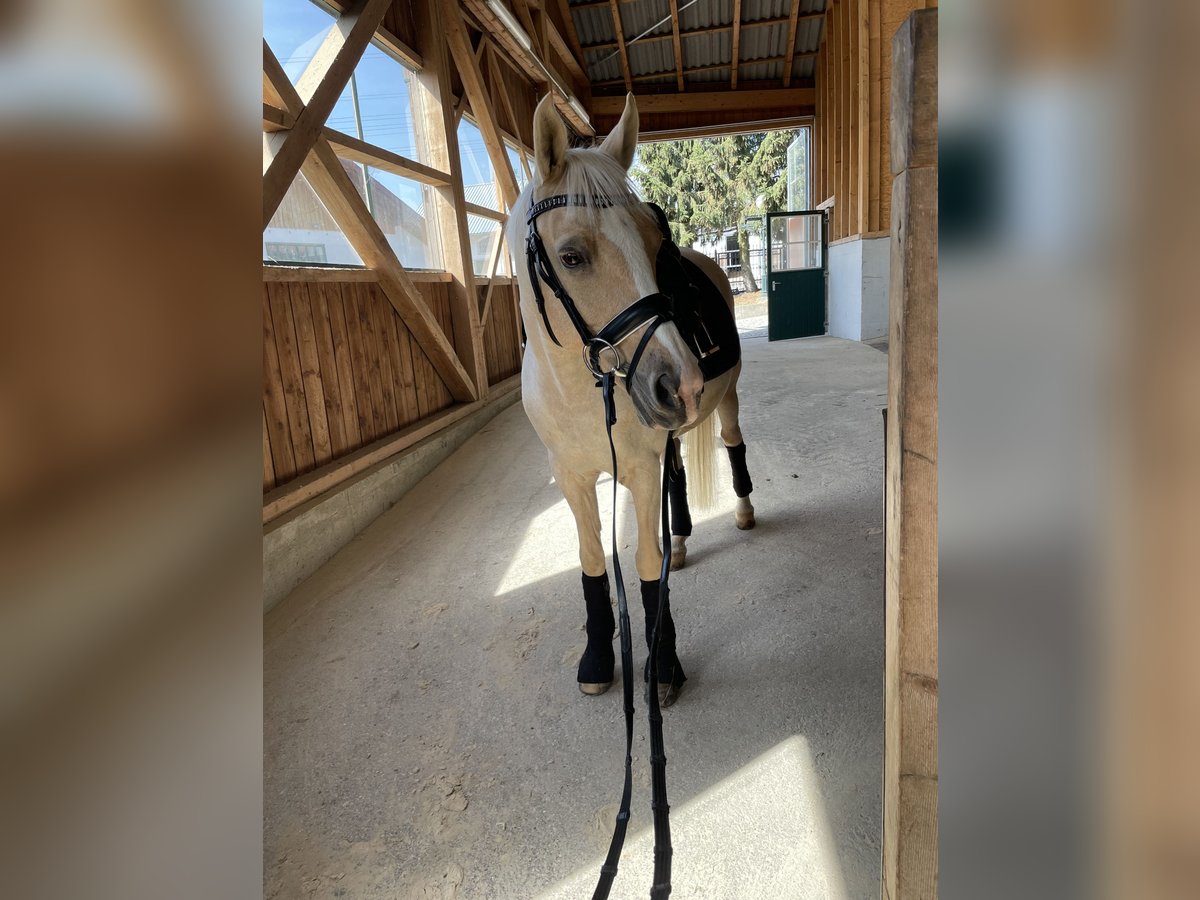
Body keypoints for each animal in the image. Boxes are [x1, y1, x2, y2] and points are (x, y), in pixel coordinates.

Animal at [508, 93, 753, 710]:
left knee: (732, 445)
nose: (682, 384)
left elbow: (644, 564)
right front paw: (598, 657)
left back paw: (743, 511)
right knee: (679, 474)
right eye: (571, 257)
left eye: (652, 240)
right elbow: (594, 561)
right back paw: (683, 539)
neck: (581, 394)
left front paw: (662, 665)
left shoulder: (639, 468)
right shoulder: (571, 476)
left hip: (728, 400)